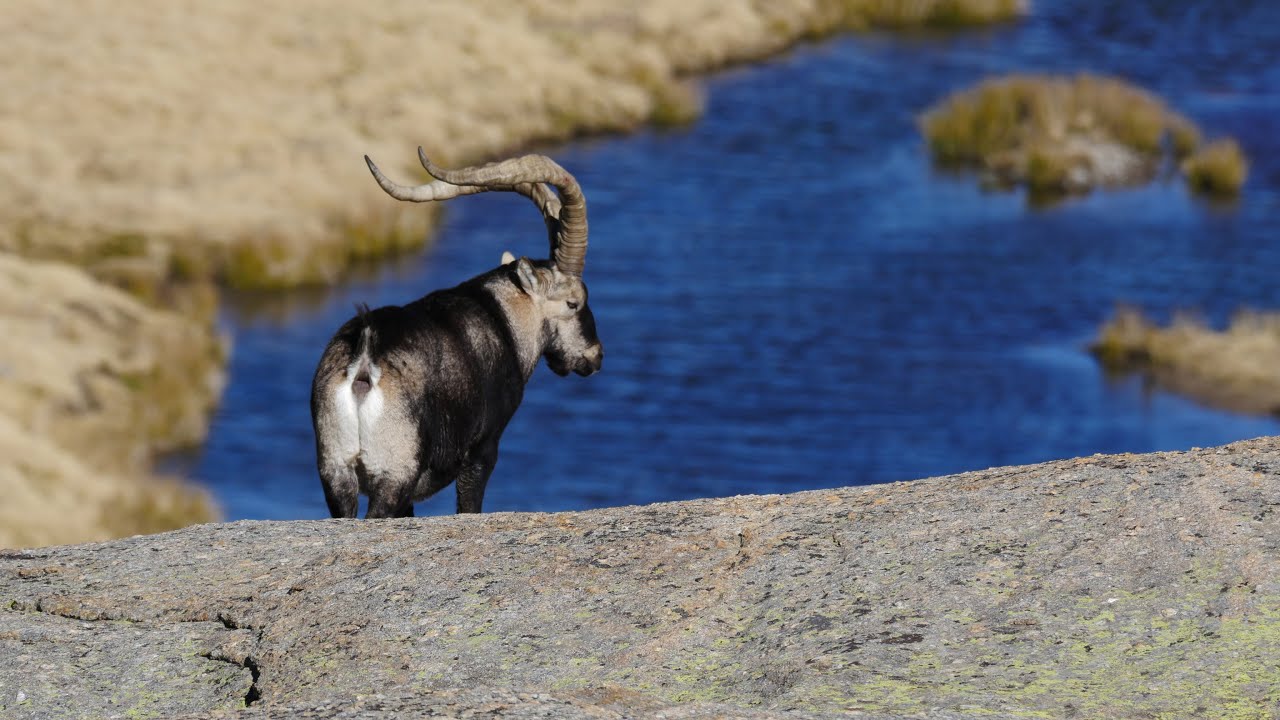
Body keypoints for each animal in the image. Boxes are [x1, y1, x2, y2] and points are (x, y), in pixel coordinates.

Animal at [310, 148, 603, 517]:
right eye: (573, 302)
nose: (595, 355)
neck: (503, 317)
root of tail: (363, 360)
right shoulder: (482, 449)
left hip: (336, 471)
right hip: (394, 473)